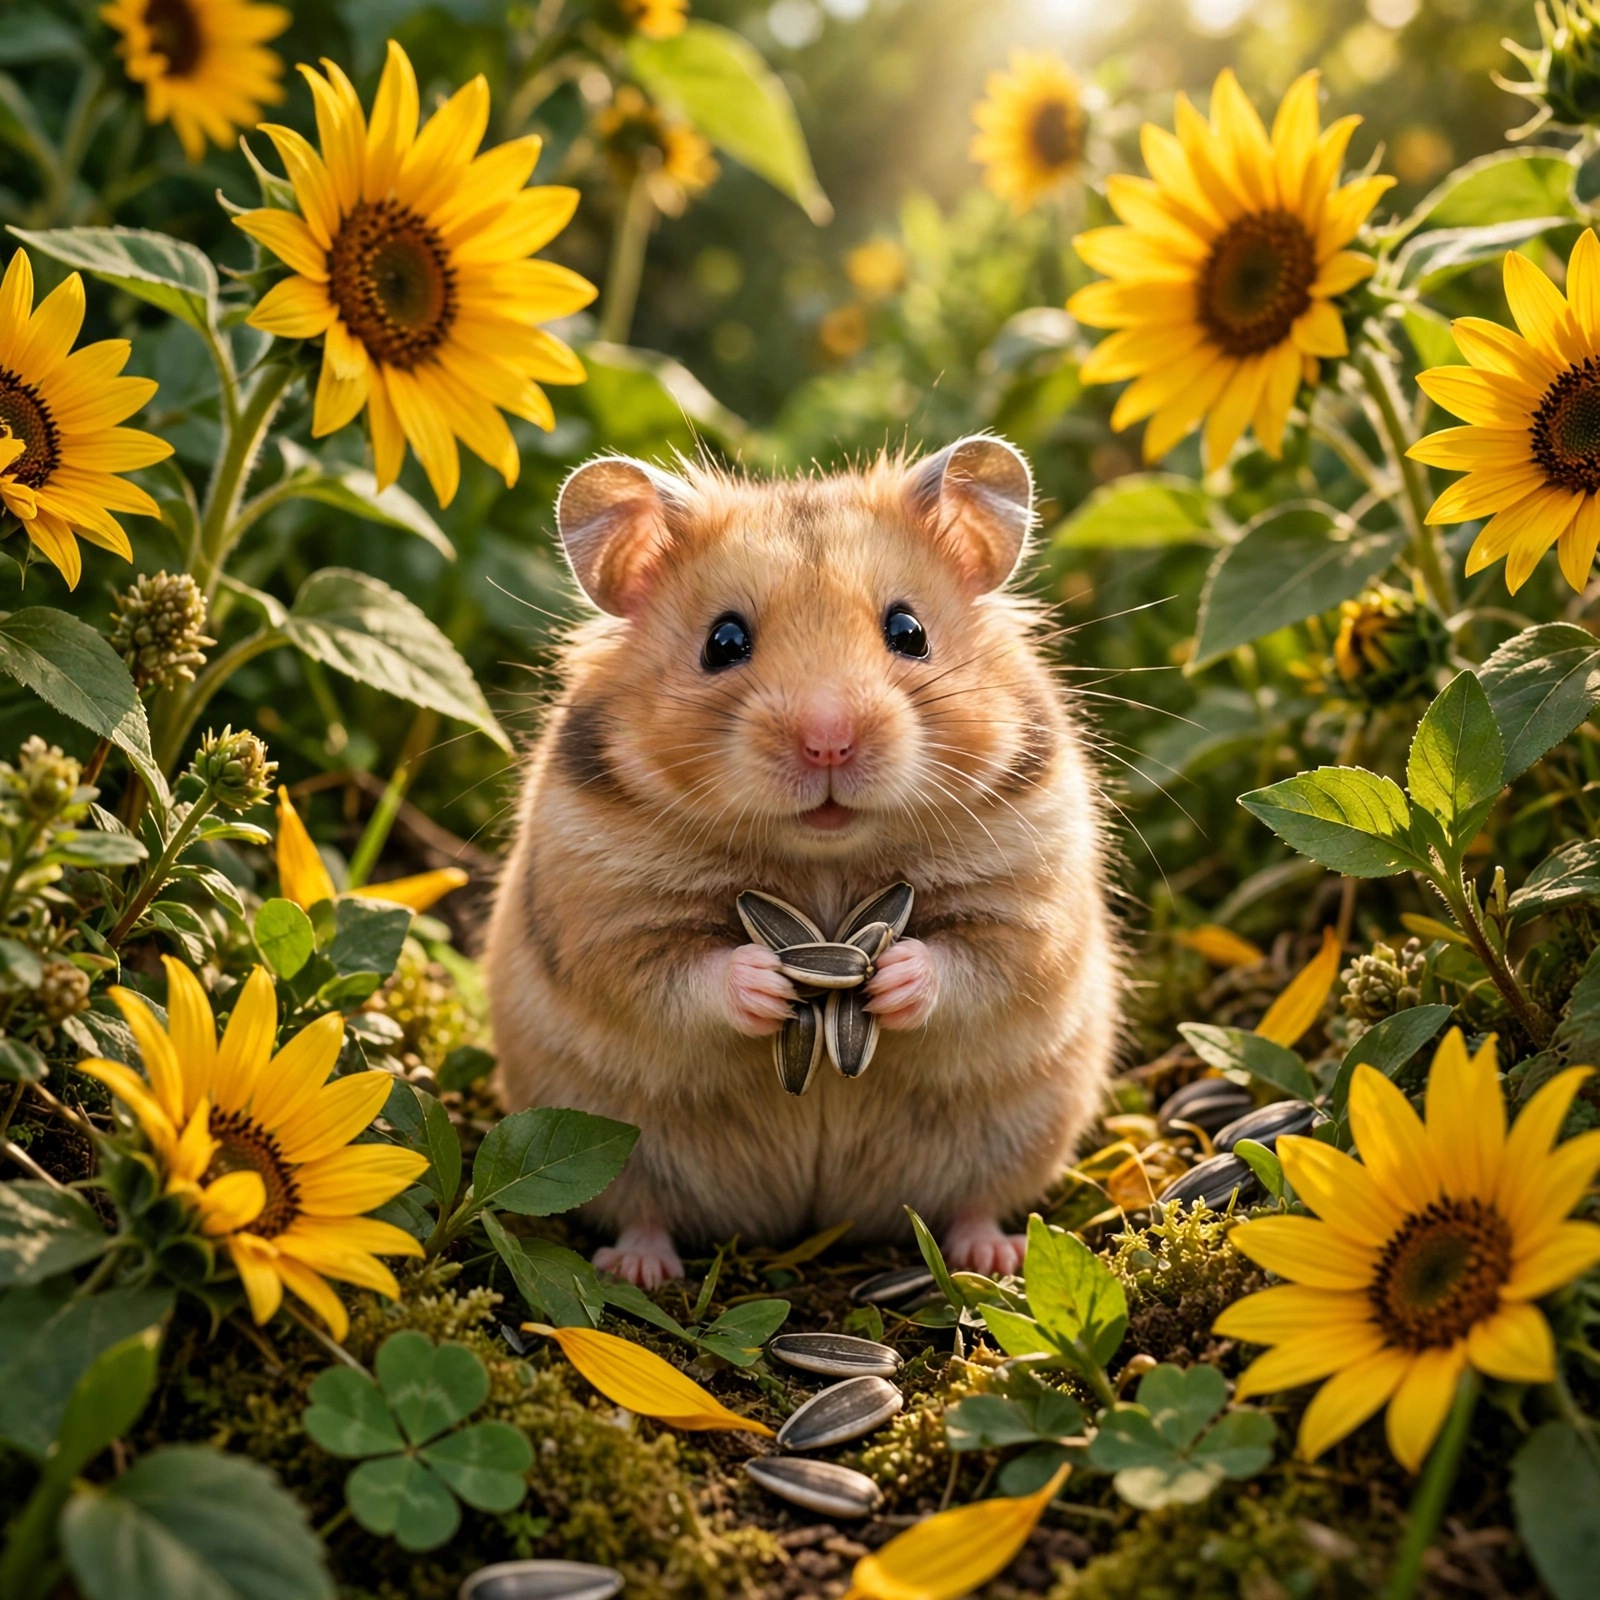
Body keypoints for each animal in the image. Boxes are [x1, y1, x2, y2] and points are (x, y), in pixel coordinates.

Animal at [484, 435, 1119, 1287]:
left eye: (909, 631)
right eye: (723, 642)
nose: (828, 742)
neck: (823, 858)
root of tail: (810, 1220)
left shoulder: (1028, 901)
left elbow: (976, 960)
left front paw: (888, 977)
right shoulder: (607, 920)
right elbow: (677, 974)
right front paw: (773, 980)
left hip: (1019, 1135)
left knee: (975, 1202)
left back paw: (993, 1258)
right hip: (623, 1146)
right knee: (644, 1211)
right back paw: (638, 1270)